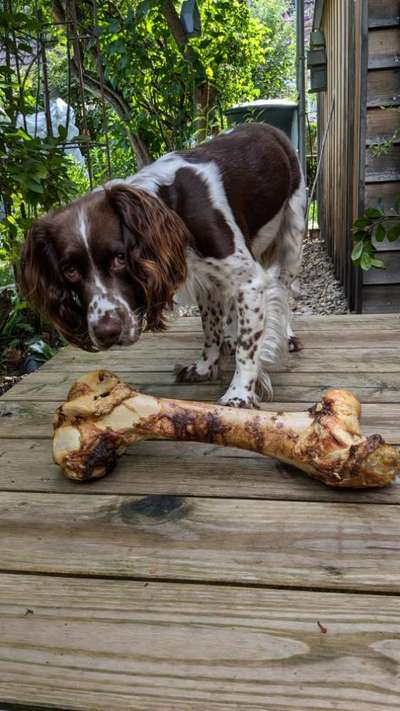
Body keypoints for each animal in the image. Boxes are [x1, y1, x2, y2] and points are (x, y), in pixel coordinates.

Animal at [20, 125, 304, 408]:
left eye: (120, 257)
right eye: (70, 270)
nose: (106, 333)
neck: (174, 210)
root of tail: (266, 127)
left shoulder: (249, 281)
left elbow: (248, 346)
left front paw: (239, 394)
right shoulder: (207, 281)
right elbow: (211, 328)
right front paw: (205, 367)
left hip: (292, 237)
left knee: (284, 289)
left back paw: (287, 336)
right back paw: (230, 337)